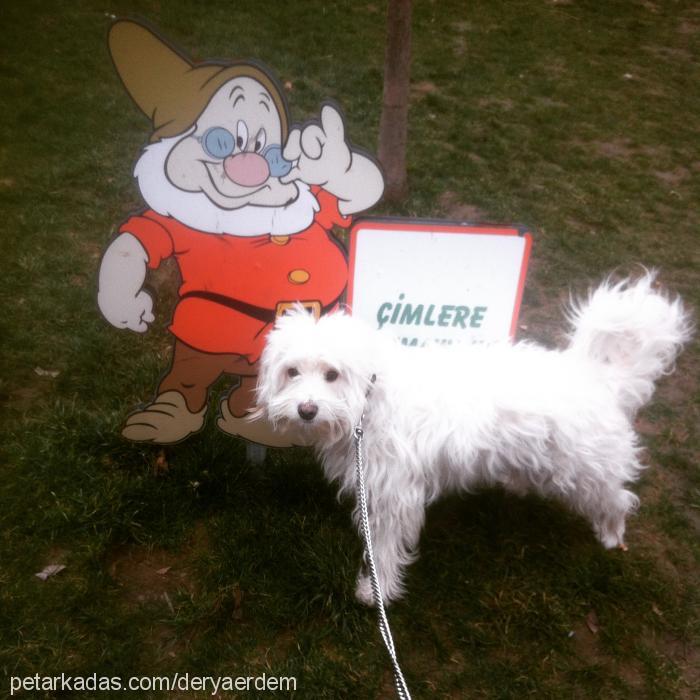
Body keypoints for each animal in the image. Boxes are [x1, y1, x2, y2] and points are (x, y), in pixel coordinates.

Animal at [256, 270, 688, 604]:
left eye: (332, 374)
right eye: (292, 372)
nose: (307, 410)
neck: (370, 397)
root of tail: (594, 375)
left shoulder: (396, 494)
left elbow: (385, 547)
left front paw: (375, 590)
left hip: (586, 470)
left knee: (618, 498)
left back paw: (612, 535)